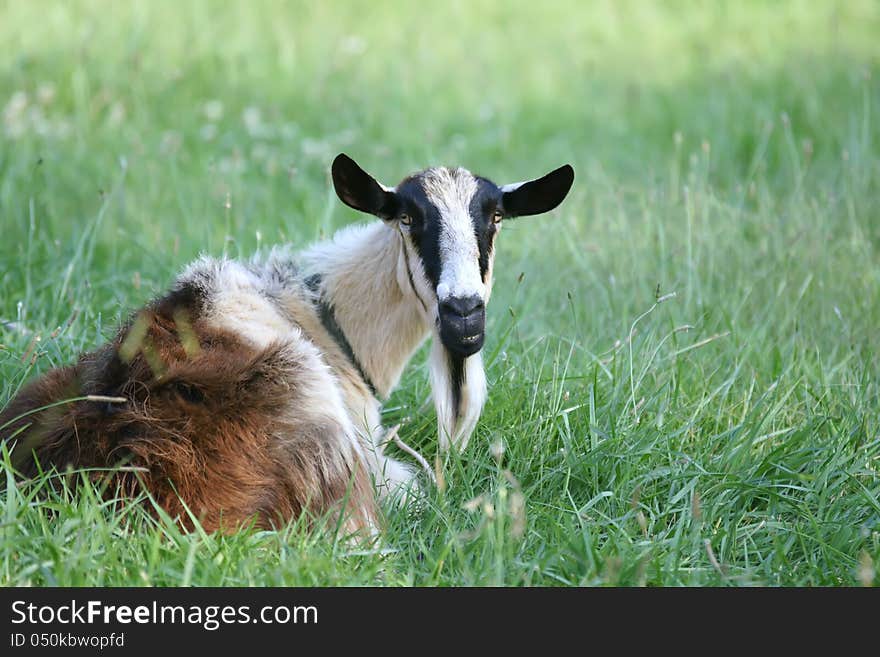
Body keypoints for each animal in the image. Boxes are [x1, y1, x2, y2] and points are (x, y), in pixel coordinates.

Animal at [0, 154, 576, 532]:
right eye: (408, 218)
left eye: (495, 218)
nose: (463, 315)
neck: (318, 314)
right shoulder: (373, 461)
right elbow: (418, 487)